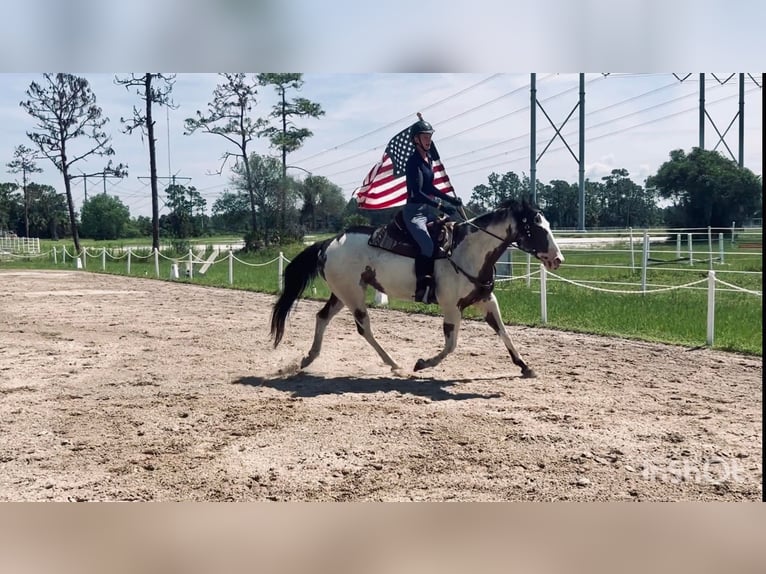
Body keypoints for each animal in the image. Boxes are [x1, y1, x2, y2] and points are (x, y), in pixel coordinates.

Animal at [270, 200, 564, 380]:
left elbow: (504, 333)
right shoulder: (451, 308)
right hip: (353, 296)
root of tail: (329, 242)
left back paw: (308, 359)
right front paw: (422, 363)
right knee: (364, 329)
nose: (557, 259)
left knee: (322, 317)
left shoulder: (486, 300)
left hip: (342, 294)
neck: (466, 251)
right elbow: (451, 345)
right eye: (536, 227)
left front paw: (525, 366)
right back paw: (394, 364)